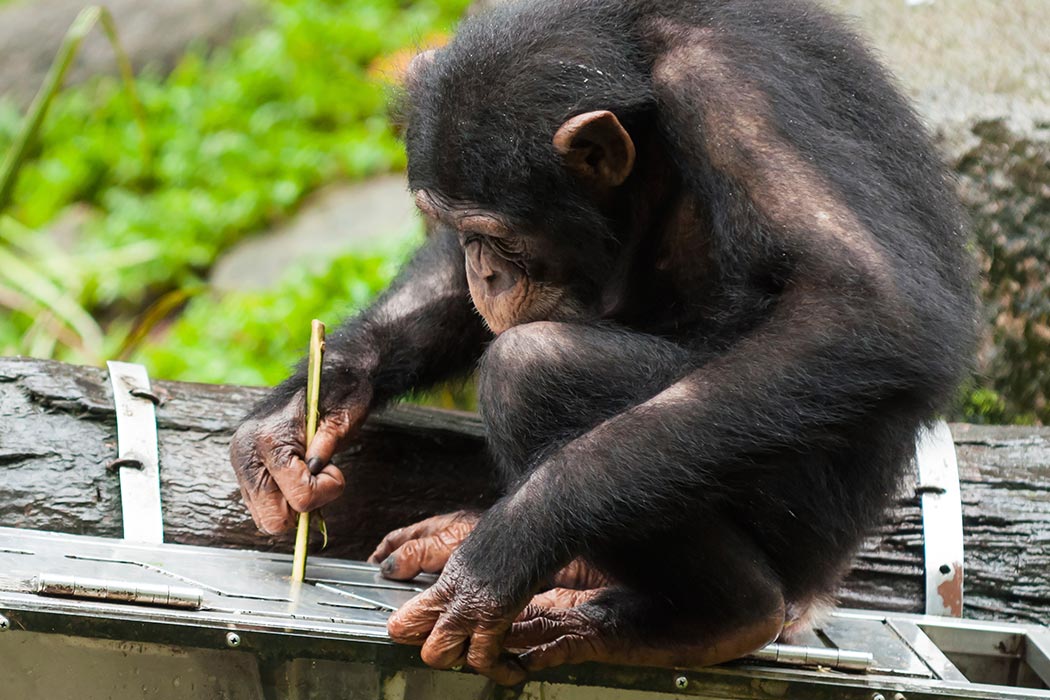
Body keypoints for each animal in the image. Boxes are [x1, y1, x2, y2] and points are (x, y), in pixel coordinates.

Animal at [229, 0, 974, 684]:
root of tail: (827, 578)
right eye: (458, 229)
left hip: (805, 519)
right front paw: (302, 412)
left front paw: (508, 548)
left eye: (498, 236)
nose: (483, 270)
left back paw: (714, 617)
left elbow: (862, 304)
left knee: (532, 370)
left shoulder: (736, 88)